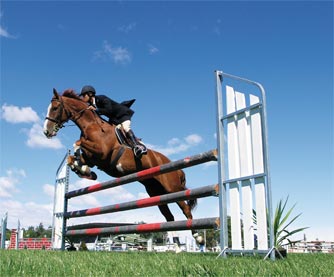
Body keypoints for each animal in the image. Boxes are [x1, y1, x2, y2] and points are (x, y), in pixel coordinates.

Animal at [43, 88, 197, 222]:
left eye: (55, 108)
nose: (46, 132)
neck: (91, 125)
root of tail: (179, 170)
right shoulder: (93, 158)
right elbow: (74, 158)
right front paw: (85, 171)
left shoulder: (102, 151)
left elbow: (77, 143)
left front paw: (84, 169)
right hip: (155, 192)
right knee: (169, 216)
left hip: (172, 188)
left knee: (186, 209)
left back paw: (196, 235)